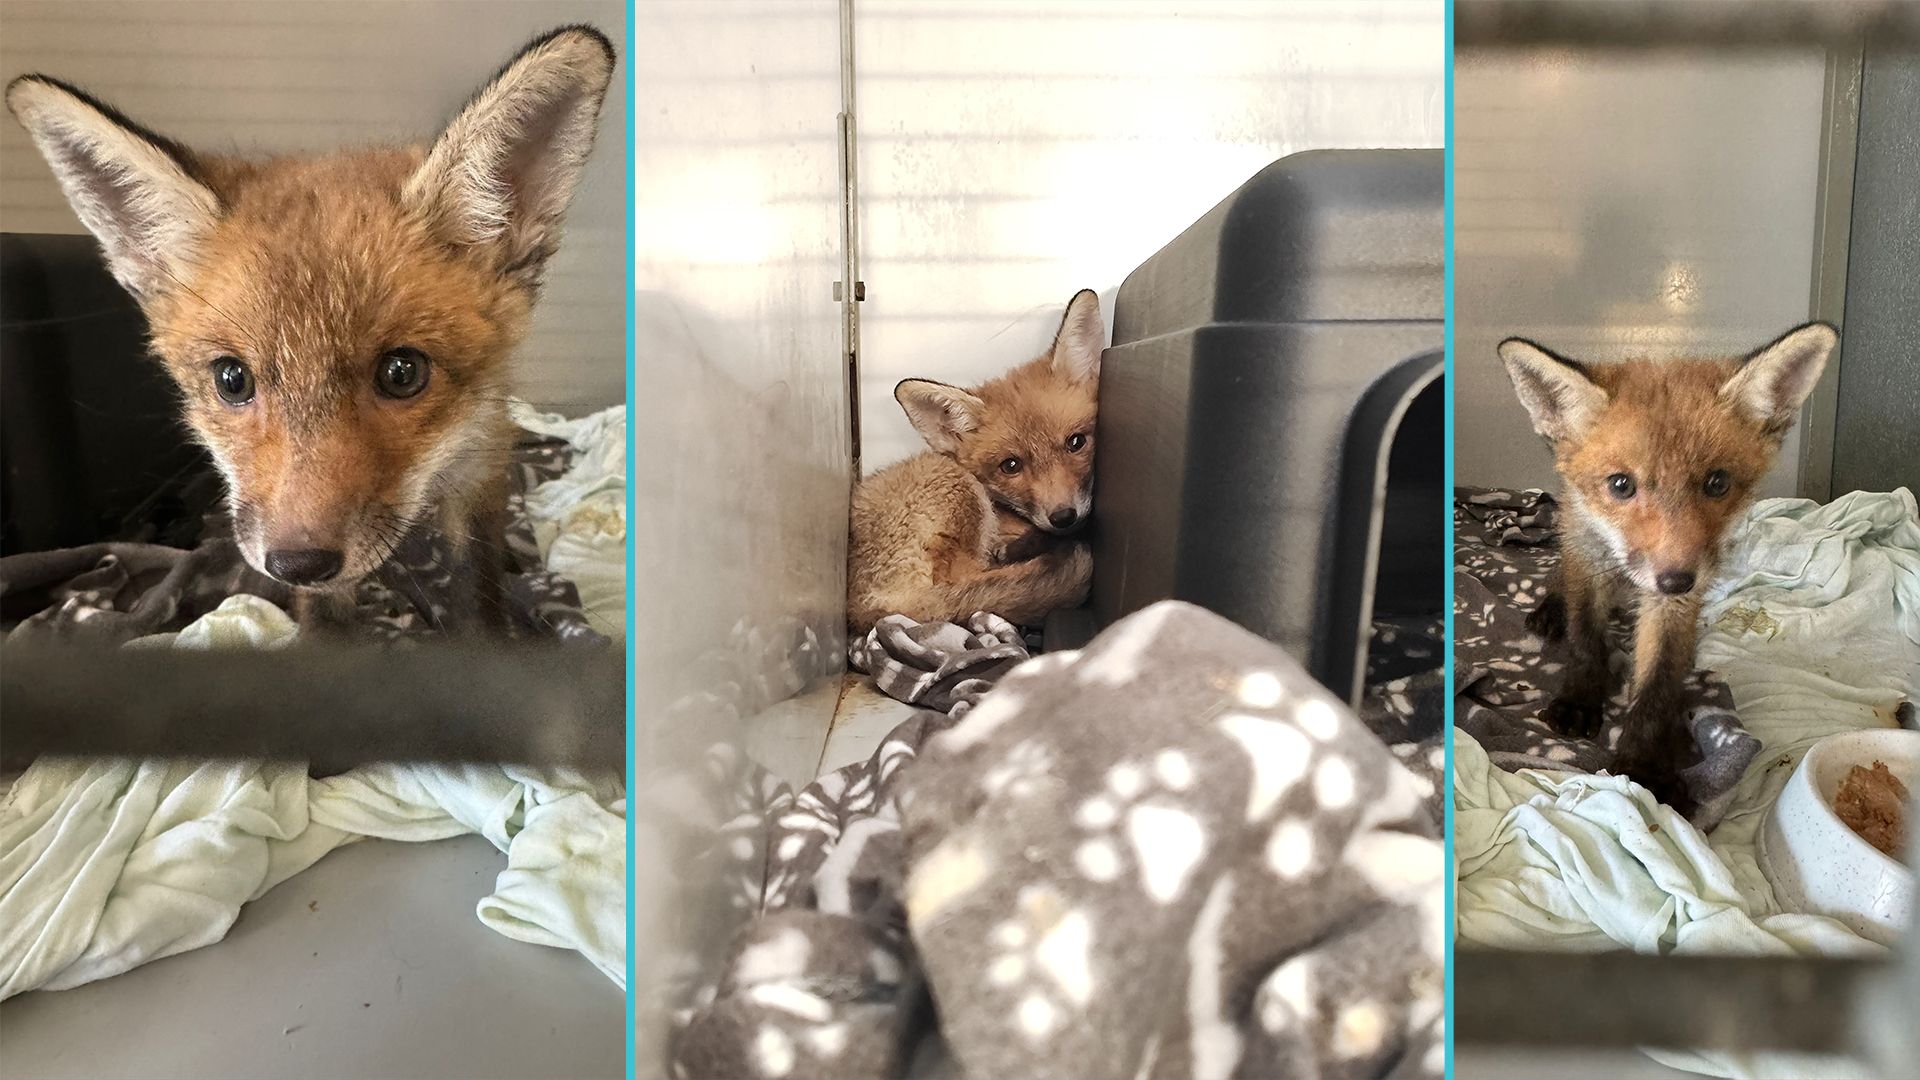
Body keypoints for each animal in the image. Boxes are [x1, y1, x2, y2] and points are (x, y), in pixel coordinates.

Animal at [847, 289, 1104, 634]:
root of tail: (862, 609)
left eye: (1076, 443)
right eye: (1011, 466)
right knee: (966, 582)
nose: (1063, 517)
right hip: (959, 486)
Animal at [1498, 322, 1837, 811]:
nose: (1677, 580)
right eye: (1621, 485)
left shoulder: (1675, 599)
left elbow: (1658, 681)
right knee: (1560, 577)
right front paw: (1581, 699)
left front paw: (1644, 768)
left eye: (1717, 483)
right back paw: (1550, 608)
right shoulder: (1588, 558)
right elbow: (1586, 640)